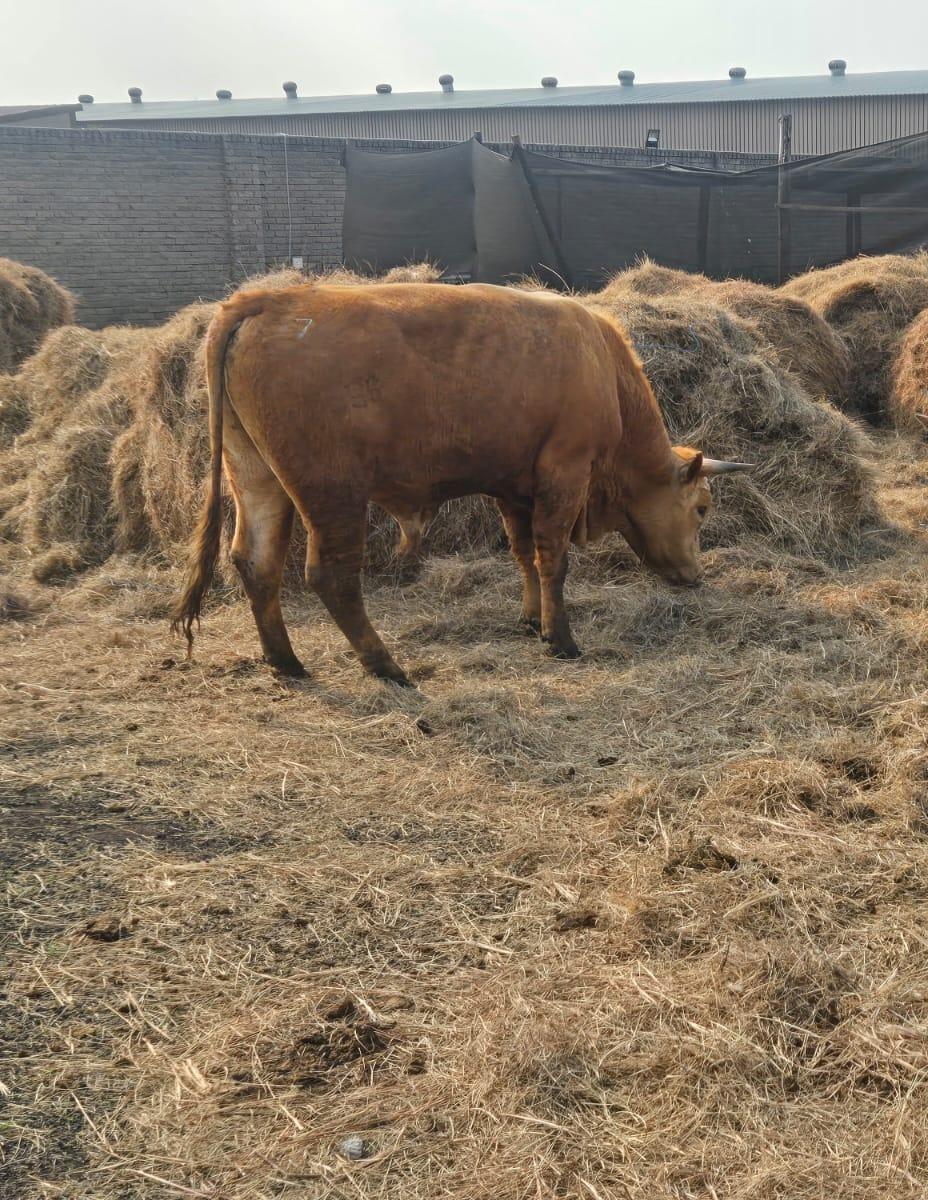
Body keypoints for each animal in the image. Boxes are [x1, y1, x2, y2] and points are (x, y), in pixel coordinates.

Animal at [172, 282, 750, 685]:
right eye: (701, 508)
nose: (696, 576)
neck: (603, 367)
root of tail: (268, 300)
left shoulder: (515, 489)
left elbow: (523, 555)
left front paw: (531, 620)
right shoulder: (564, 475)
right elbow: (553, 559)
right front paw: (561, 638)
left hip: (257, 478)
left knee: (256, 562)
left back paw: (286, 661)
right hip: (332, 495)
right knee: (331, 576)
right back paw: (385, 665)